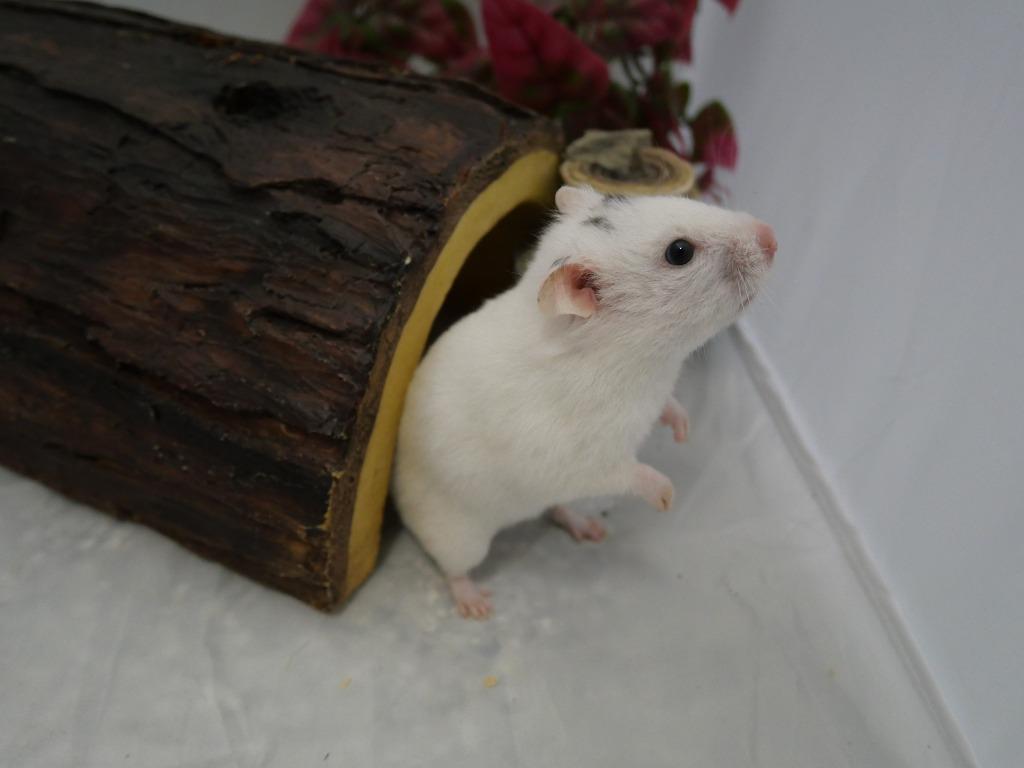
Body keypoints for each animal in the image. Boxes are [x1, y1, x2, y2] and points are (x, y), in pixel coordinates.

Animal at [393, 186, 777, 618]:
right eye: (679, 252)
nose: (772, 236)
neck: (643, 359)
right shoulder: (582, 462)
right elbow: (631, 473)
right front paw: (668, 497)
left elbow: (669, 406)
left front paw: (683, 431)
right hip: (460, 537)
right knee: (454, 567)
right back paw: (476, 605)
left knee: (553, 509)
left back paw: (587, 527)